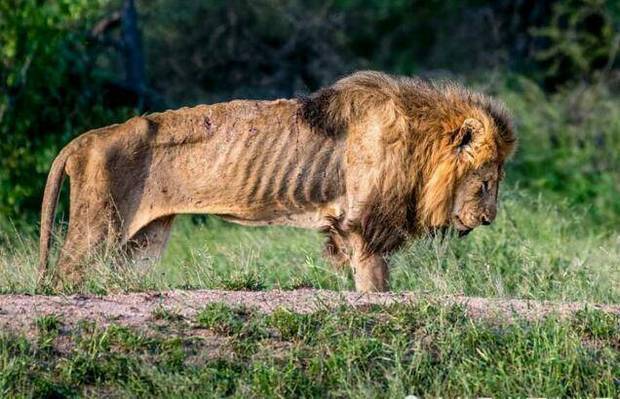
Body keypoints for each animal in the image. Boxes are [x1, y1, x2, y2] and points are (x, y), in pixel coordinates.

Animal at [36, 70, 516, 292]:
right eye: (485, 182)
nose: (490, 219)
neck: (420, 142)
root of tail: (84, 139)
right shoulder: (363, 226)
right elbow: (375, 284)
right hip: (97, 228)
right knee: (63, 277)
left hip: (141, 242)